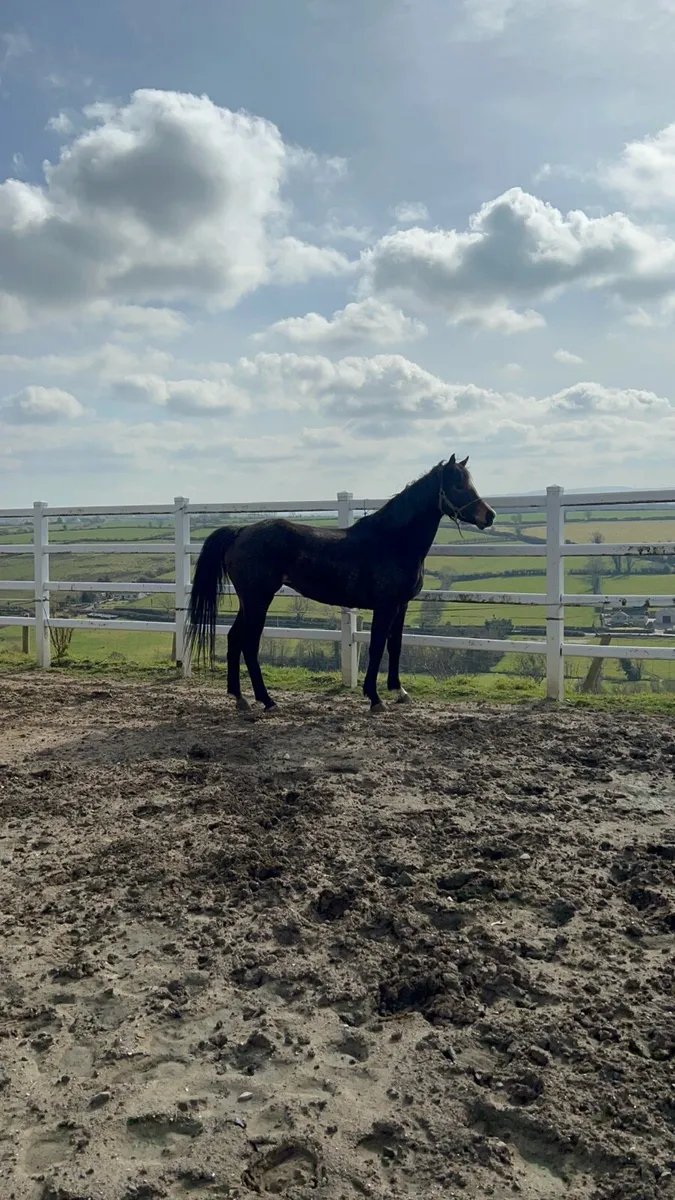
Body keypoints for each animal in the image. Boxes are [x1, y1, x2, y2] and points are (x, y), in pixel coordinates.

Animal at [187, 455, 495, 714]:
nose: (489, 515)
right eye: (458, 485)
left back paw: (239, 698)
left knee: (233, 638)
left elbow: (395, 646)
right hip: (258, 600)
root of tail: (240, 530)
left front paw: (399, 691)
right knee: (249, 645)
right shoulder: (385, 607)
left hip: (249, 601)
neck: (393, 540)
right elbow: (377, 647)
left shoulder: (401, 606)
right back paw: (268, 701)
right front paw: (375, 698)